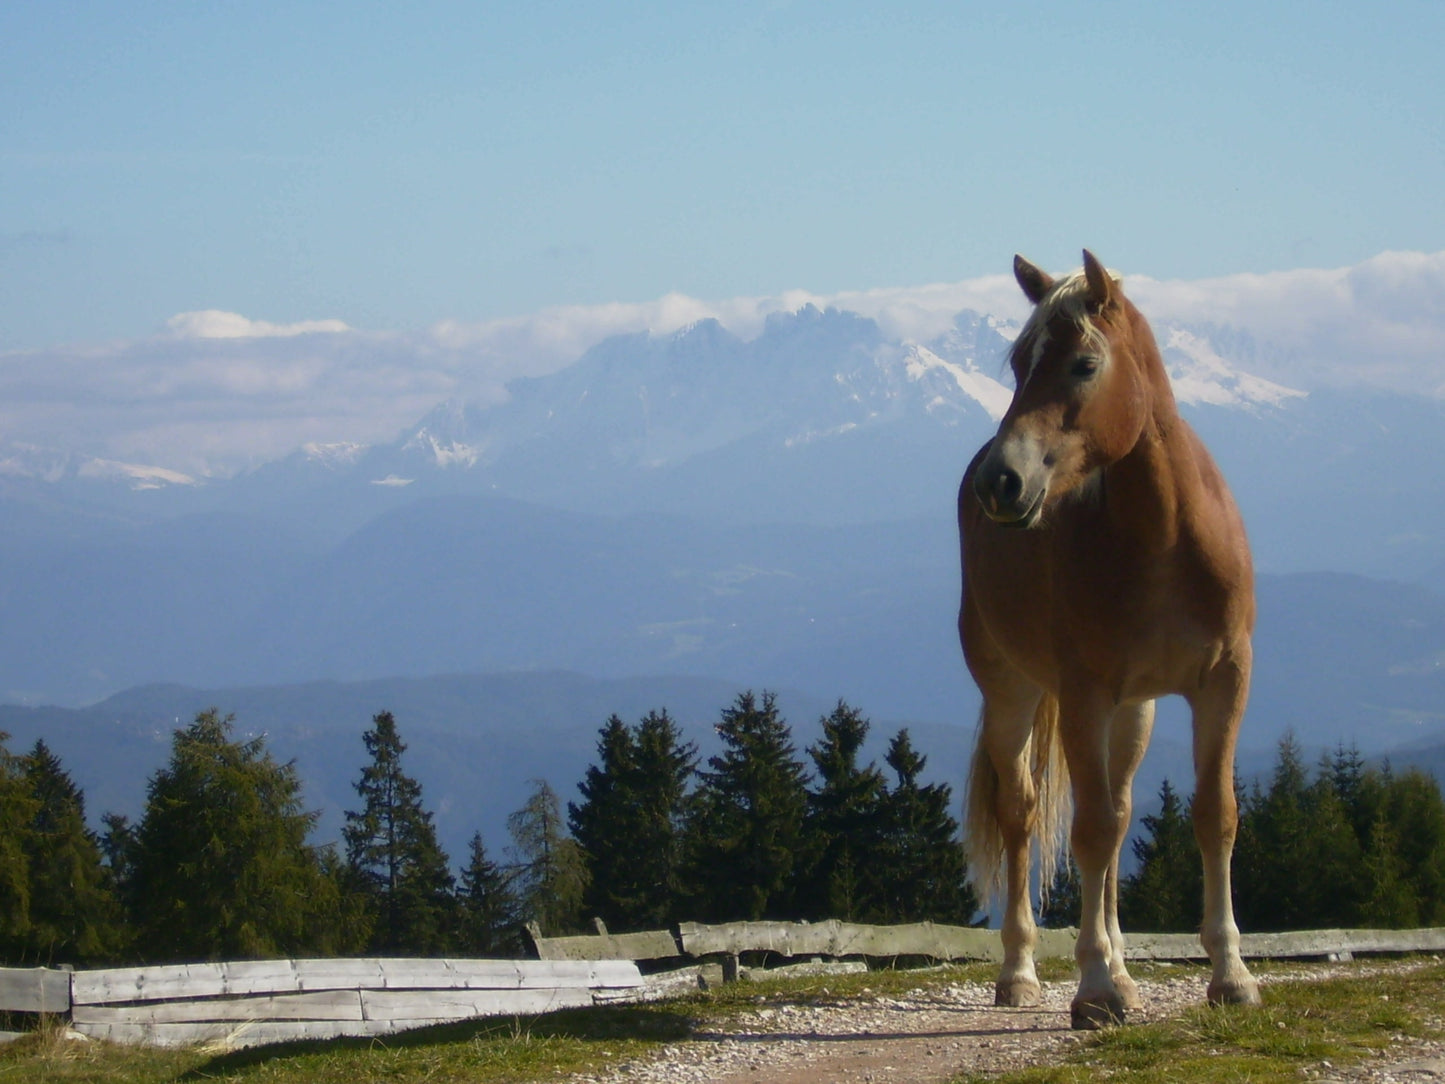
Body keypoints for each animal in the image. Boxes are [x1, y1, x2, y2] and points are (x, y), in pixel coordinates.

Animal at [959, 250, 1265, 1029]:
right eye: (1017, 364)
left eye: (1084, 365)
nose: (1001, 481)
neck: (1166, 536)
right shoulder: (1083, 694)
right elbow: (1089, 830)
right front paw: (1094, 987)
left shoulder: (1224, 681)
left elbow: (1213, 815)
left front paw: (1230, 974)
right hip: (1012, 691)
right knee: (1022, 813)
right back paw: (1020, 971)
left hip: (1136, 711)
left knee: (1122, 813)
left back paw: (1124, 965)